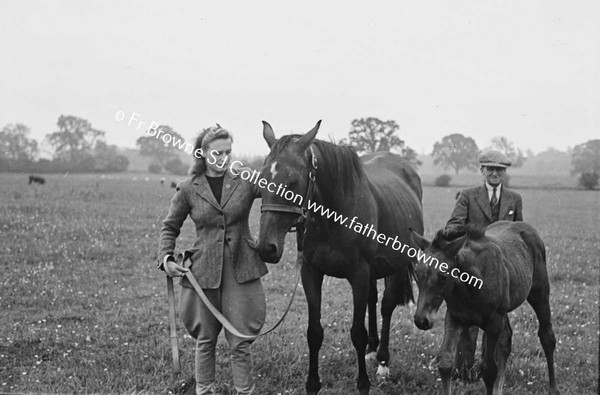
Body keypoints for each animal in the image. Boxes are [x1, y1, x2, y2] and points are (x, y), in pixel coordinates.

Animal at [255, 122, 424, 394]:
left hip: (397, 265)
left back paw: (383, 362)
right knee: (372, 300)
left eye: (292, 182)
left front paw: (363, 384)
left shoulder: (359, 274)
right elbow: (314, 332)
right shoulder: (311, 273)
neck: (334, 215)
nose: (265, 247)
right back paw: (372, 350)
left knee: (386, 306)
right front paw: (312, 384)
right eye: (261, 181)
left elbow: (357, 333)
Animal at [410, 223, 560, 395]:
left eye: (443, 277)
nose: (421, 320)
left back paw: (553, 389)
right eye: (417, 274)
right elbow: (445, 362)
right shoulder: (455, 317)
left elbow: (489, 370)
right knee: (506, 340)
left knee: (547, 337)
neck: (471, 285)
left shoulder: (494, 322)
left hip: (539, 295)